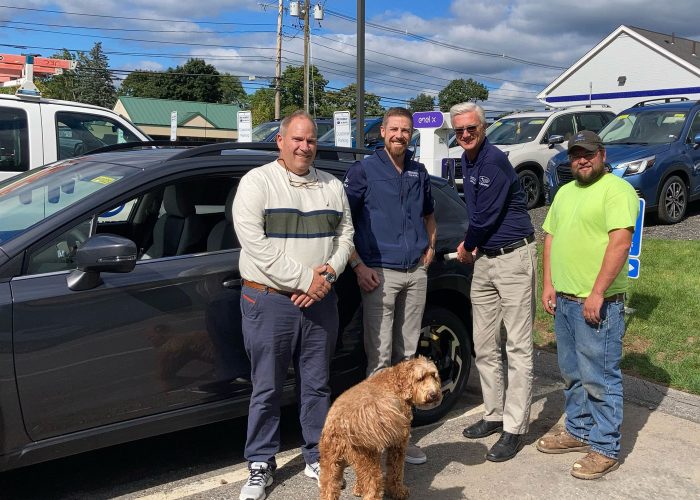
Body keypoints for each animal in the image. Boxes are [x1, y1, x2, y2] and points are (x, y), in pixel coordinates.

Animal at [318, 356, 440, 500]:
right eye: (420, 378)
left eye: (434, 376)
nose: (434, 394)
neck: (396, 383)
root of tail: (341, 423)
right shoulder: (398, 443)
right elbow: (396, 471)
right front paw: (398, 491)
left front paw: (359, 489)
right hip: (368, 460)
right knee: (373, 488)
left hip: (330, 461)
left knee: (328, 487)